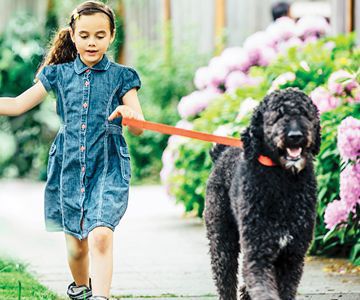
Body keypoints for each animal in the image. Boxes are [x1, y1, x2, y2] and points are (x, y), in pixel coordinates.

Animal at [205, 88, 320, 298]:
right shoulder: (258, 251)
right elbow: (263, 287)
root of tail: (221, 153)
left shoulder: (292, 254)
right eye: (277, 116)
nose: (295, 135)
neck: (283, 179)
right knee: (225, 277)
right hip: (221, 237)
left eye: (306, 114)